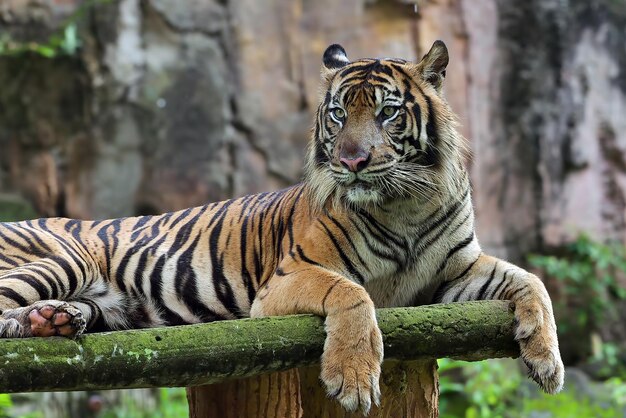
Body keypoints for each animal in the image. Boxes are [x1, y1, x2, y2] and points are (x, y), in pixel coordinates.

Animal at [0, 40, 560, 414]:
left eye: (387, 113)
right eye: (338, 115)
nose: (351, 161)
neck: (405, 205)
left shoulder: (456, 272)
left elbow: (532, 281)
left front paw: (547, 360)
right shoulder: (287, 280)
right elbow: (352, 293)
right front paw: (353, 380)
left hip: (108, 305)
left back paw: (54, 320)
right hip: (64, 257)